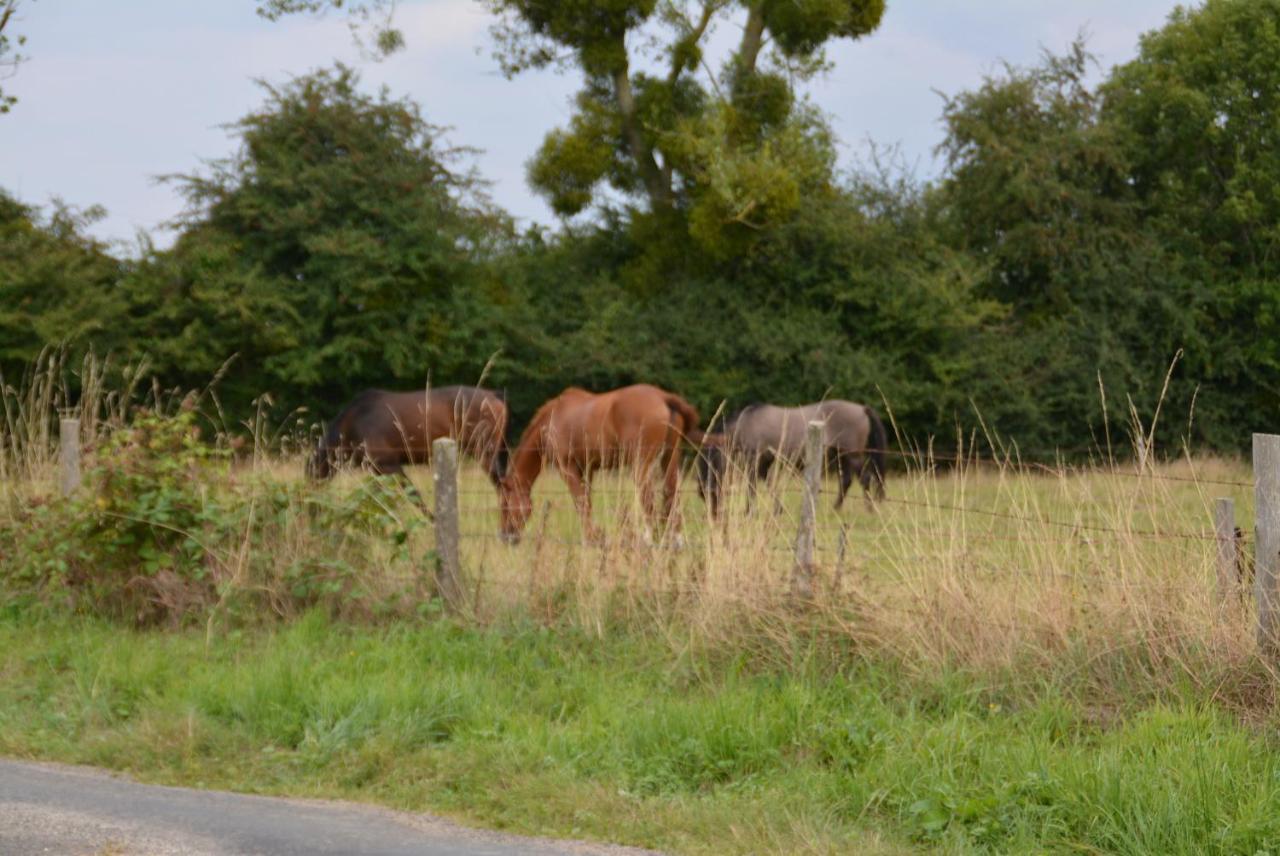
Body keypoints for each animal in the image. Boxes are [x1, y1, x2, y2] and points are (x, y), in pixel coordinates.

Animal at [496, 383, 701, 545]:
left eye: (505, 504)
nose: (506, 537)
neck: (552, 421)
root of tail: (663, 397)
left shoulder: (567, 469)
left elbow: (581, 503)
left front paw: (591, 538)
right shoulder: (587, 469)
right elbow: (587, 501)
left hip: (641, 466)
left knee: (648, 500)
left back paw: (648, 539)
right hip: (669, 461)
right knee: (672, 496)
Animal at [696, 401, 885, 514]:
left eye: (705, 470)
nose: (704, 496)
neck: (745, 423)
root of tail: (862, 409)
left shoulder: (754, 459)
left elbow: (752, 486)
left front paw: (749, 510)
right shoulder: (765, 461)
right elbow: (770, 484)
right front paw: (778, 509)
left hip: (852, 456)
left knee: (864, 479)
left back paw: (869, 509)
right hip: (842, 456)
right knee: (846, 481)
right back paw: (836, 508)